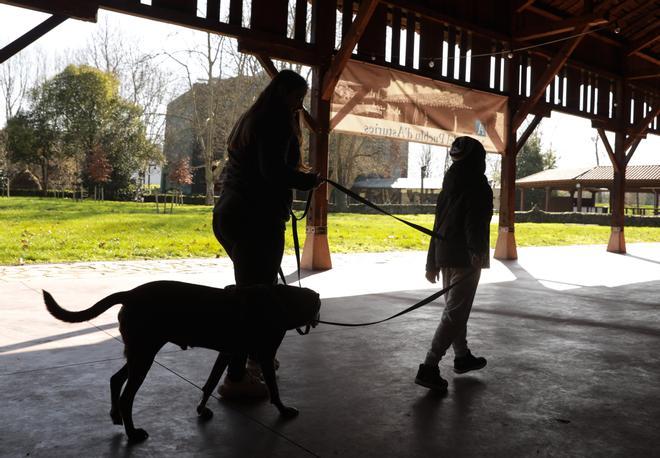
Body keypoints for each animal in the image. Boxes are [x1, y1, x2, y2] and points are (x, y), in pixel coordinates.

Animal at [41, 280, 320, 442]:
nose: (317, 319)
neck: (280, 300)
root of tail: (129, 294)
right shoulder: (265, 354)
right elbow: (273, 388)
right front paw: (283, 410)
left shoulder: (226, 353)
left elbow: (210, 383)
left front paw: (201, 409)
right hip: (144, 356)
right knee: (126, 396)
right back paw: (132, 433)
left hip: (139, 353)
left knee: (115, 379)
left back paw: (115, 416)